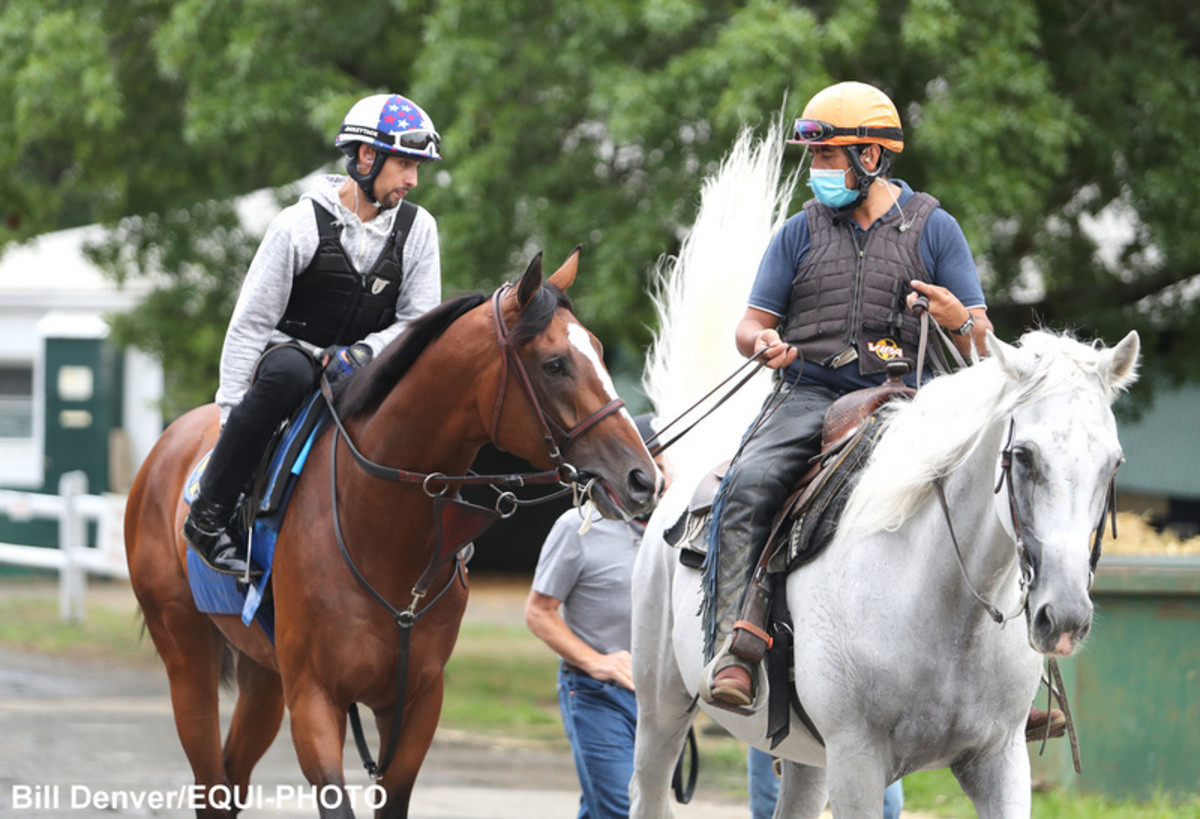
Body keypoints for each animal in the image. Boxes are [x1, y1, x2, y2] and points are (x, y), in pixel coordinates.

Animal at [124, 249, 661, 818]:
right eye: (555, 364)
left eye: (600, 351)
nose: (642, 477)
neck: (383, 533)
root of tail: (166, 446)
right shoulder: (315, 698)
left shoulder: (417, 701)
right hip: (188, 656)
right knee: (209, 778)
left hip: (263, 677)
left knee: (231, 781)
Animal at [628, 127, 1141, 817]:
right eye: (1024, 455)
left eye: (1111, 462)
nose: (1063, 619)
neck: (947, 600)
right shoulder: (859, 762)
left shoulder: (999, 760)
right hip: (660, 713)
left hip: (803, 757)